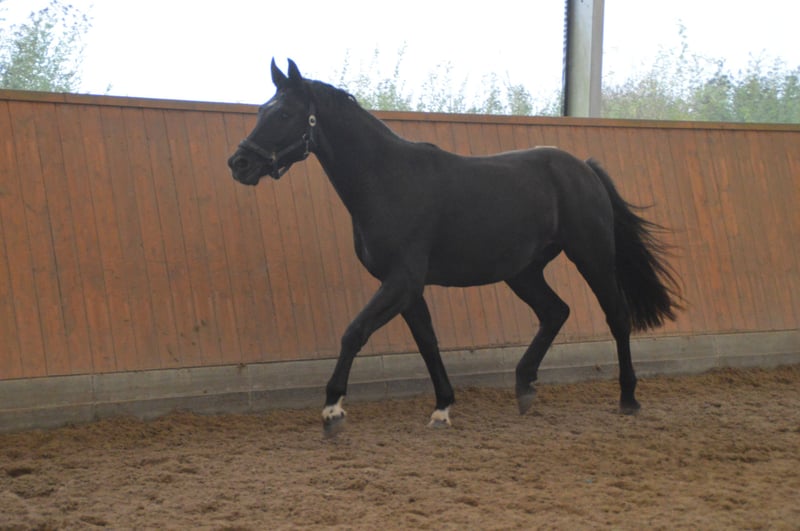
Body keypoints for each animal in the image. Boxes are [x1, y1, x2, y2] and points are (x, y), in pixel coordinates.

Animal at [228, 59, 682, 433]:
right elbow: (427, 341)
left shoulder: (402, 281)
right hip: (523, 272)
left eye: (285, 113)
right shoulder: (407, 288)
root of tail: (582, 168)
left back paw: (628, 398)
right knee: (555, 312)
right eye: (261, 111)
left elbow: (354, 332)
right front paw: (442, 407)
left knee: (616, 315)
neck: (388, 180)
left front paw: (333, 409)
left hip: (592, 255)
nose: (239, 164)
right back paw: (524, 388)